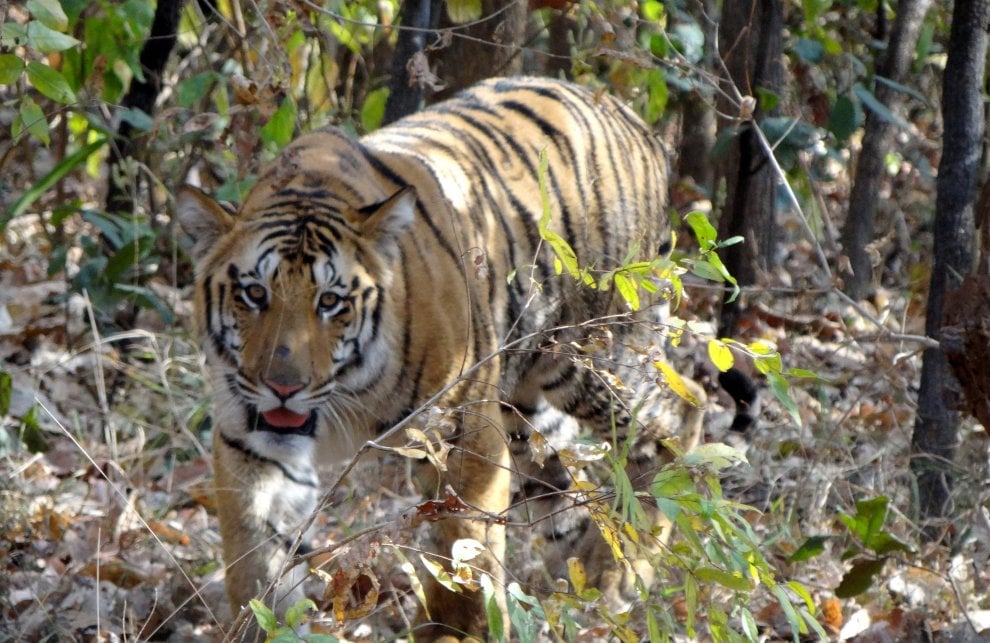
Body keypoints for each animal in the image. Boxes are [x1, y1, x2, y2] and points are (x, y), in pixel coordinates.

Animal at [176, 76, 704, 640]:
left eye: (331, 302)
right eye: (254, 294)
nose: (283, 387)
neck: (344, 392)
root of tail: (635, 121)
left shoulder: (464, 435)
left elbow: (463, 548)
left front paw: (459, 631)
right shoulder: (248, 441)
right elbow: (254, 562)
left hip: (597, 357)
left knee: (680, 415)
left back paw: (619, 574)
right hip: (526, 407)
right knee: (564, 488)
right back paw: (576, 585)